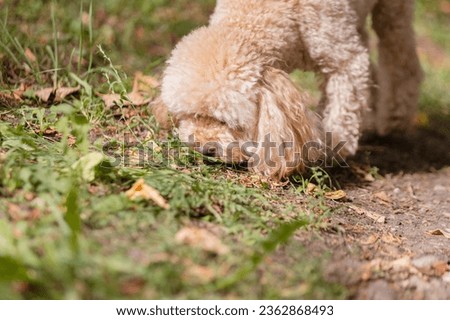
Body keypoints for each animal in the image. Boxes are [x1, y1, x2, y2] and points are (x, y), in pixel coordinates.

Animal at [156, 0, 424, 180]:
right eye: (191, 115)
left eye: (227, 122)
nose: (205, 148)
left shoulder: (344, 60)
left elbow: (342, 107)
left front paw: (333, 149)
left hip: (391, 10)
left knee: (401, 56)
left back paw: (395, 116)